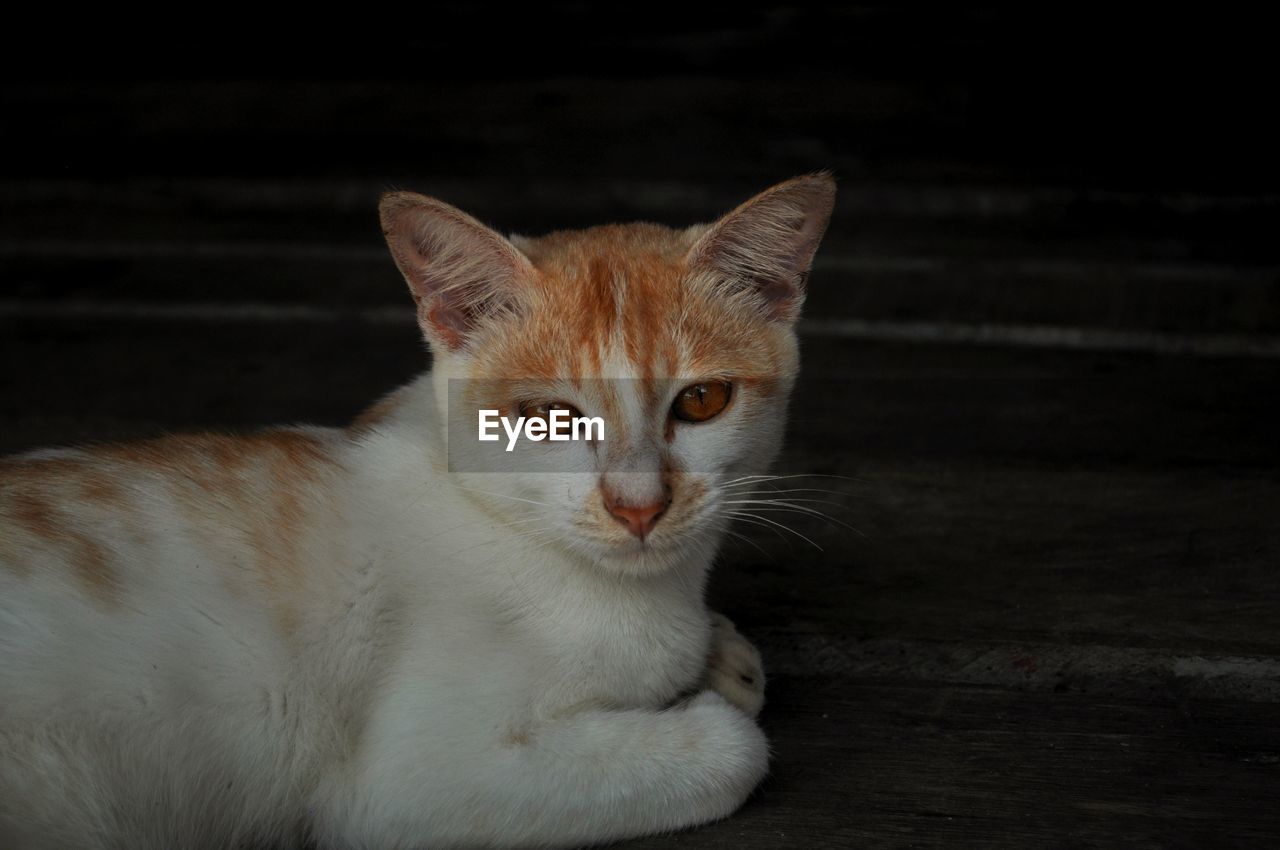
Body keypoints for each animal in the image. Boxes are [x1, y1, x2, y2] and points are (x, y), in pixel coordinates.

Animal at [0, 174, 834, 850]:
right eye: (549, 418)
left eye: (702, 401)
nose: (638, 506)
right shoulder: (408, 781)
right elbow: (735, 748)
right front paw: (703, 702)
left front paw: (720, 656)